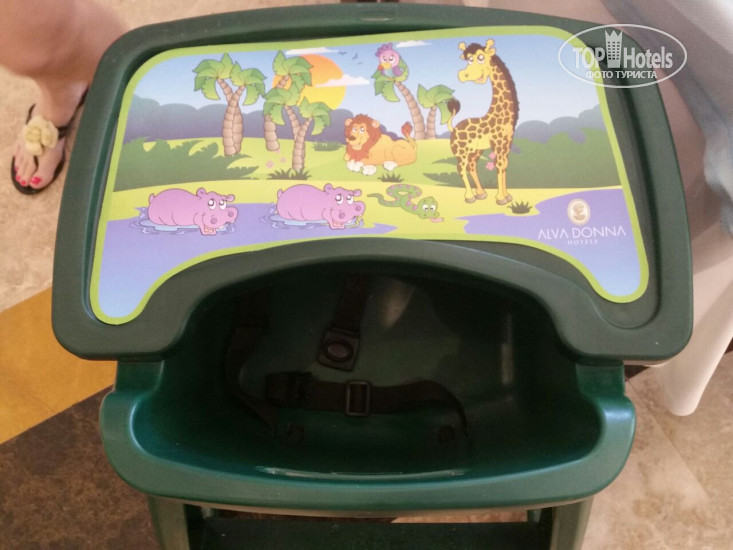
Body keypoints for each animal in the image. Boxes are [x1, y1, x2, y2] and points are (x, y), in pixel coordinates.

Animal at [448, 39, 519, 204]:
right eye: (468, 60)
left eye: (481, 58)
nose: (462, 74)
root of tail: (453, 128)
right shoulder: (497, 142)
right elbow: (499, 165)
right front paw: (500, 198)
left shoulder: (507, 142)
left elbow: (504, 165)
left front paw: (507, 196)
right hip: (460, 151)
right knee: (461, 168)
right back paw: (469, 196)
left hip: (475, 150)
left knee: (471, 166)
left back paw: (480, 193)